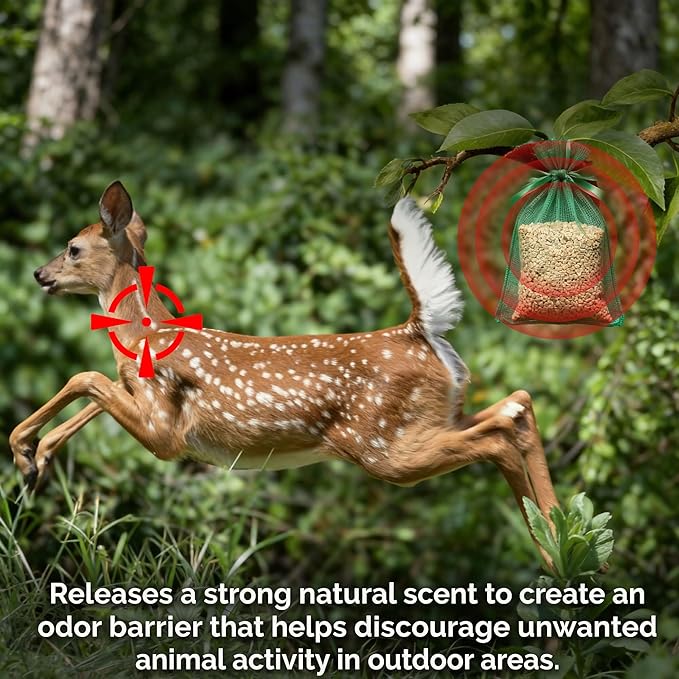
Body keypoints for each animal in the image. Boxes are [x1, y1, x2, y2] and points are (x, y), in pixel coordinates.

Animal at [9, 181, 559, 562]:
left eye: (73, 248)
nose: (39, 274)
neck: (149, 337)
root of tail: (418, 329)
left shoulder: (167, 434)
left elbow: (86, 378)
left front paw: (25, 450)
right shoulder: (146, 407)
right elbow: (95, 389)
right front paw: (37, 457)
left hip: (385, 445)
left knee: (497, 436)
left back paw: (552, 553)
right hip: (432, 418)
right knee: (518, 405)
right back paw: (559, 549)